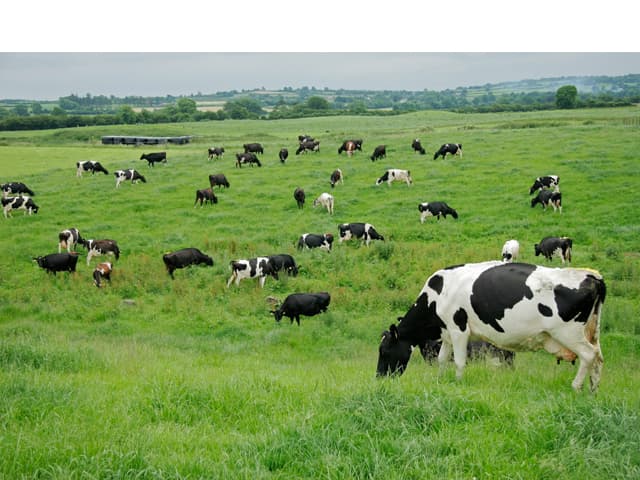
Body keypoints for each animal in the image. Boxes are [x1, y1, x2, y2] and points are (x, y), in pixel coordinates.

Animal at [376, 261, 606, 393]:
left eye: (384, 351)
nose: (379, 378)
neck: (437, 295)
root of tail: (591, 276)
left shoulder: (458, 329)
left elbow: (459, 361)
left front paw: (458, 383)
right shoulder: (447, 332)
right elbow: (442, 359)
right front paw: (440, 380)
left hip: (568, 332)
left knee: (588, 355)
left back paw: (576, 387)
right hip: (591, 332)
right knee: (598, 357)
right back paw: (593, 390)